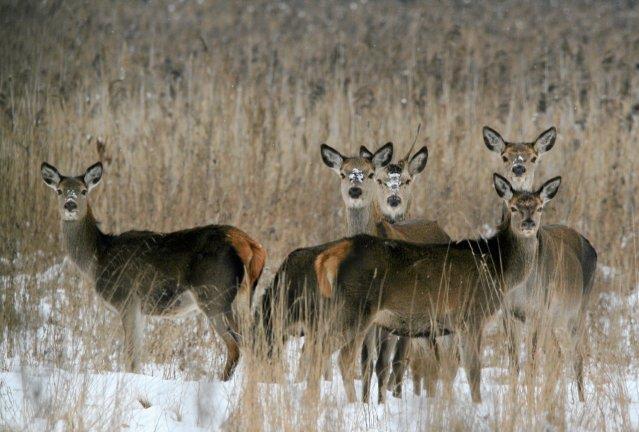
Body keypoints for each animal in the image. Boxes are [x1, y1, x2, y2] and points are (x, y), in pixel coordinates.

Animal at [40, 161, 266, 378]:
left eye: (83, 190)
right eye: (59, 190)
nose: (70, 204)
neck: (98, 258)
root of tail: (251, 245)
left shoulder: (126, 298)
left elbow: (130, 353)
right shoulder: (138, 308)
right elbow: (137, 353)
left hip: (215, 294)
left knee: (240, 346)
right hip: (241, 296)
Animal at [312, 172, 564, 402]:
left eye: (540, 208)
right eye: (513, 208)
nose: (528, 224)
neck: (498, 268)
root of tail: (330, 256)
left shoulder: (451, 326)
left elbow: (449, 369)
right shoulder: (472, 315)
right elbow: (473, 370)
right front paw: (477, 404)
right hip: (355, 309)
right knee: (337, 356)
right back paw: (352, 403)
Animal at [482, 125, 596, 402]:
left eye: (533, 157)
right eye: (505, 156)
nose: (518, 168)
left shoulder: (538, 309)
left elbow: (532, 362)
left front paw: (530, 403)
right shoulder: (507, 311)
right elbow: (514, 363)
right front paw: (514, 401)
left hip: (578, 308)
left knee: (576, 355)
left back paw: (580, 401)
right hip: (555, 319)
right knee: (557, 353)